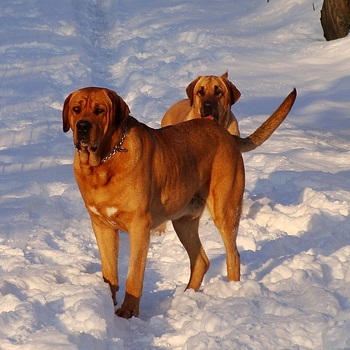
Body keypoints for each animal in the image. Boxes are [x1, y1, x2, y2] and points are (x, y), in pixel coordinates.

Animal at [62, 87, 296, 318]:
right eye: (76, 109)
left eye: (99, 110)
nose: (83, 126)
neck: (103, 162)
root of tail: (226, 135)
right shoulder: (101, 226)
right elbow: (109, 272)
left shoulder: (139, 226)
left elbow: (134, 274)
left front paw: (128, 312)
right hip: (184, 222)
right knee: (201, 260)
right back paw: (187, 296)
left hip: (225, 209)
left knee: (233, 256)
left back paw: (232, 293)